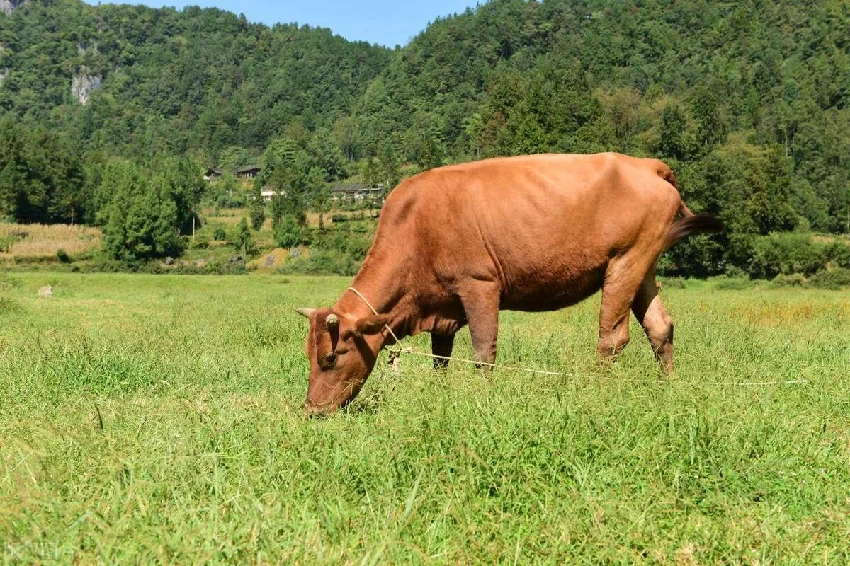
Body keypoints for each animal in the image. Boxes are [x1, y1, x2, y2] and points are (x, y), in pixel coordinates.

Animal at [294, 154, 720, 418]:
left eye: (331, 358)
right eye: (308, 356)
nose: (312, 410)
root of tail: (644, 165)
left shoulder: (479, 285)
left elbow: (484, 352)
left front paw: (482, 398)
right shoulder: (442, 306)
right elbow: (440, 358)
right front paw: (440, 395)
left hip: (624, 262)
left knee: (612, 336)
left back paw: (596, 393)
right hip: (643, 264)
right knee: (659, 327)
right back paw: (667, 388)